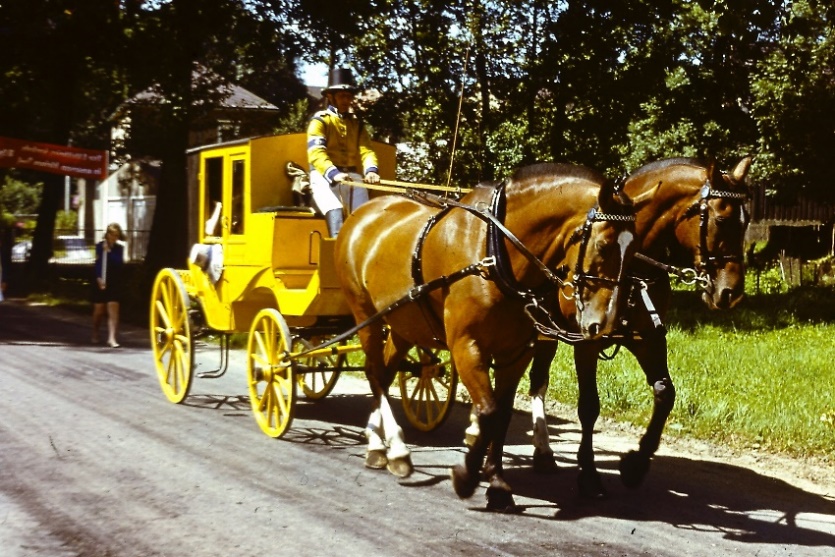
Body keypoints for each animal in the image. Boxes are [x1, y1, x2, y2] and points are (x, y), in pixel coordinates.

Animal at [336, 163, 636, 510]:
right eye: (603, 246)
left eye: (635, 250)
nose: (605, 323)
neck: (494, 252)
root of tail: (364, 211)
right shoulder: (467, 346)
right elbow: (489, 411)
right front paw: (466, 475)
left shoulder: (516, 353)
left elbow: (501, 416)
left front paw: (496, 482)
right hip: (365, 317)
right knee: (373, 373)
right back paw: (392, 448)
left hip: (403, 324)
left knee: (383, 375)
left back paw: (381, 445)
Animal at [524, 155, 752, 496]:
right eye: (722, 220)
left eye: (746, 220)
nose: (731, 292)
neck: (631, 269)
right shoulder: (587, 341)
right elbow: (589, 406)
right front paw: (588, 473)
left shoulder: (648, 338)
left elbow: (665, 392)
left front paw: (636, 463)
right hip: (543, 331)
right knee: (537, 381)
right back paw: (542, 450)